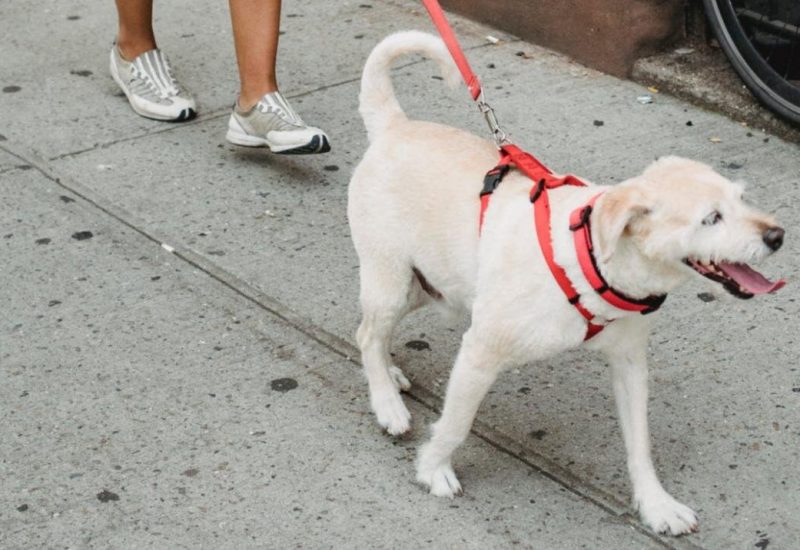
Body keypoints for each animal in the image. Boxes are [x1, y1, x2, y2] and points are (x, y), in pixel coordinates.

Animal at [348, 31, 788, 540]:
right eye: (711, 218)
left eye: (742, 198)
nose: (778, 237)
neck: (589, 257)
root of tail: (394, 126)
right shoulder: (480, 351)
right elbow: (456, 422)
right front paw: (433, 468)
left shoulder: (629, 363)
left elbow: (640, 445)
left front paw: (656, 505)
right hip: (391, 279)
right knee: (367, 333)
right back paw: (387, 402)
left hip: (428, 287)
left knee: (371, 334)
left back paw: (389, 374)